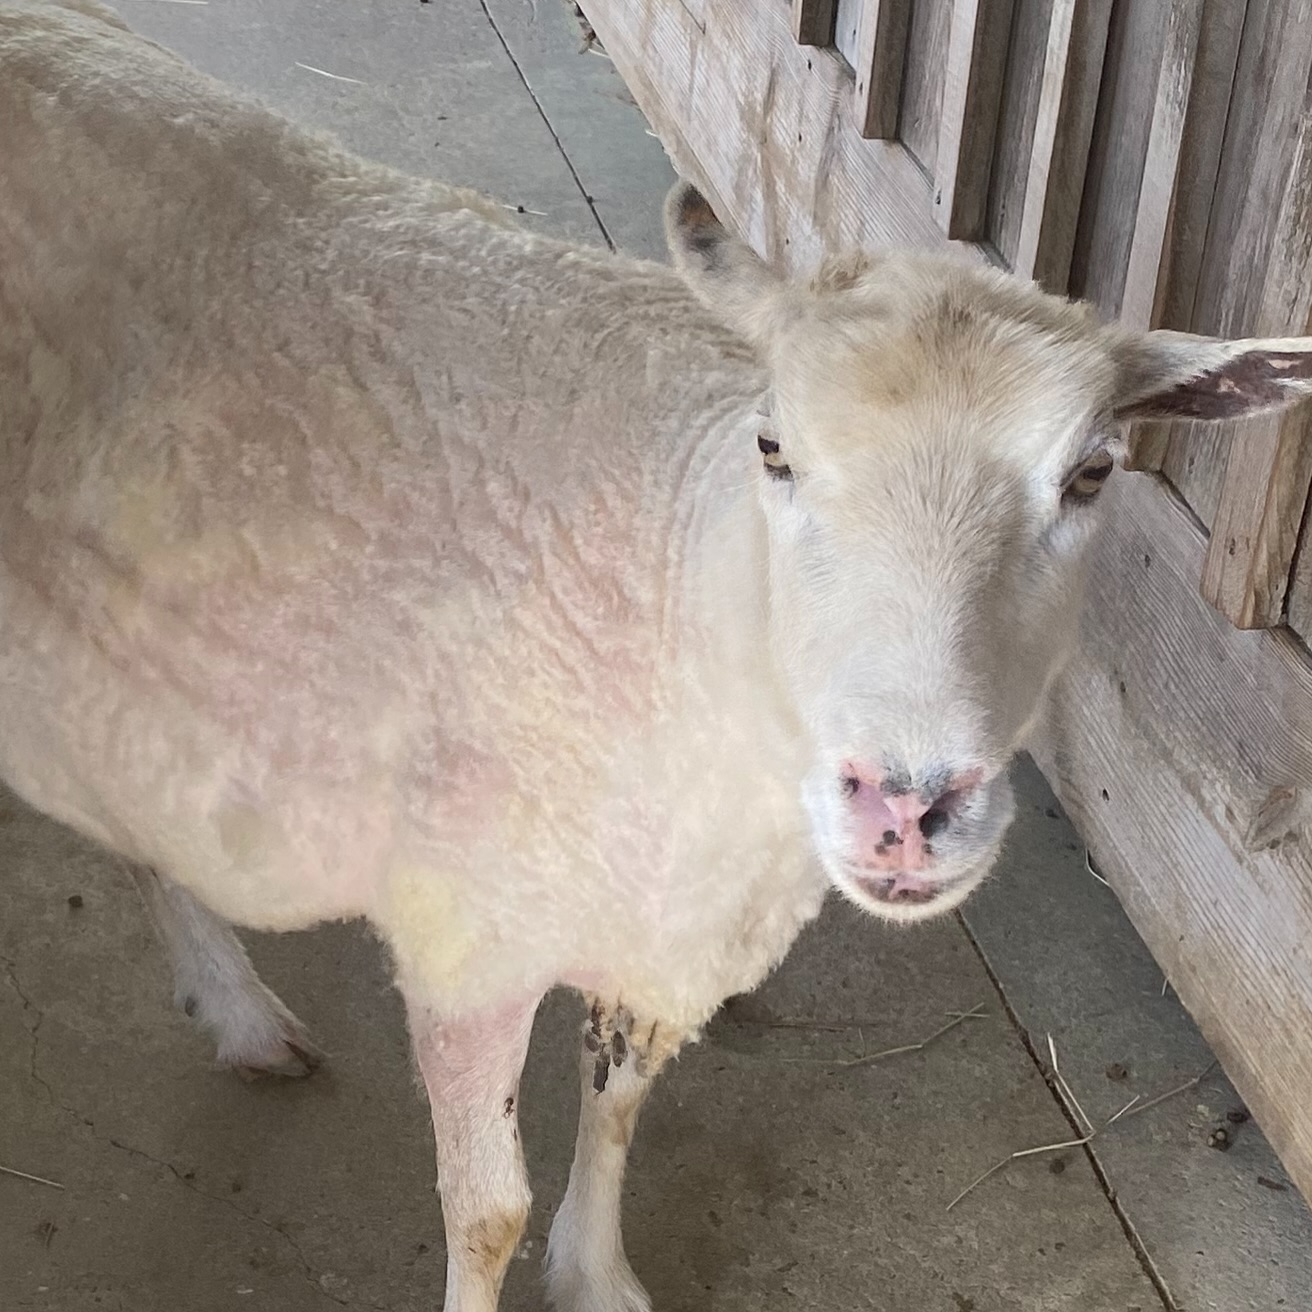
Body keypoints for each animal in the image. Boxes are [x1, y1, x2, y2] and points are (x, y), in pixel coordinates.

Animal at [4, 2, 1312, 1309]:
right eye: (774, 449)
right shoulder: (466, 936)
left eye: (1091, 473)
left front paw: (595, 1269)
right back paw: (236, 1001)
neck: (689, 588)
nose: (903, 807)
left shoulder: (667, 923)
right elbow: (485, 1210)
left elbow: (621, 1093)